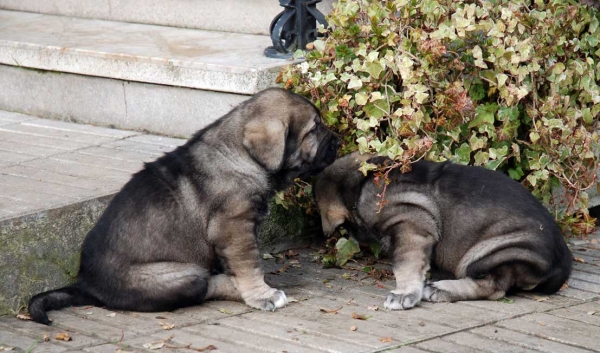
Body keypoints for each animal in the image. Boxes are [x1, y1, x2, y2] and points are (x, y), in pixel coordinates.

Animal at [28, 86, 340, 324]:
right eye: (314, 129)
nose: (337, 141)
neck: (241, 154)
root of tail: (85, 286)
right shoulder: (235, 227)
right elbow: (249, 265)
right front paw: (261, 295)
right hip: (181, 275)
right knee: (206, 284)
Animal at [314, 151, 572, 308]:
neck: (362, 184)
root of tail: (561, 264)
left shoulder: (411, 226)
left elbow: (405, 264)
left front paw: (405, 293)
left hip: (491, 253)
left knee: (493, 288)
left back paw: (441, 289)